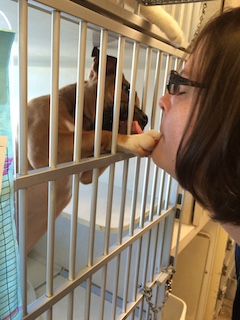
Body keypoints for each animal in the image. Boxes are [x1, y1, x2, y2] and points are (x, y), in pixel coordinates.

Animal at [19, 47, 160, 252]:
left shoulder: (85, 172)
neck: (75, 112)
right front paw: (138, 139)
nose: (145, 117)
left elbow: (102, 140)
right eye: (126, 89)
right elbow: (102, 133)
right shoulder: (43, 147)